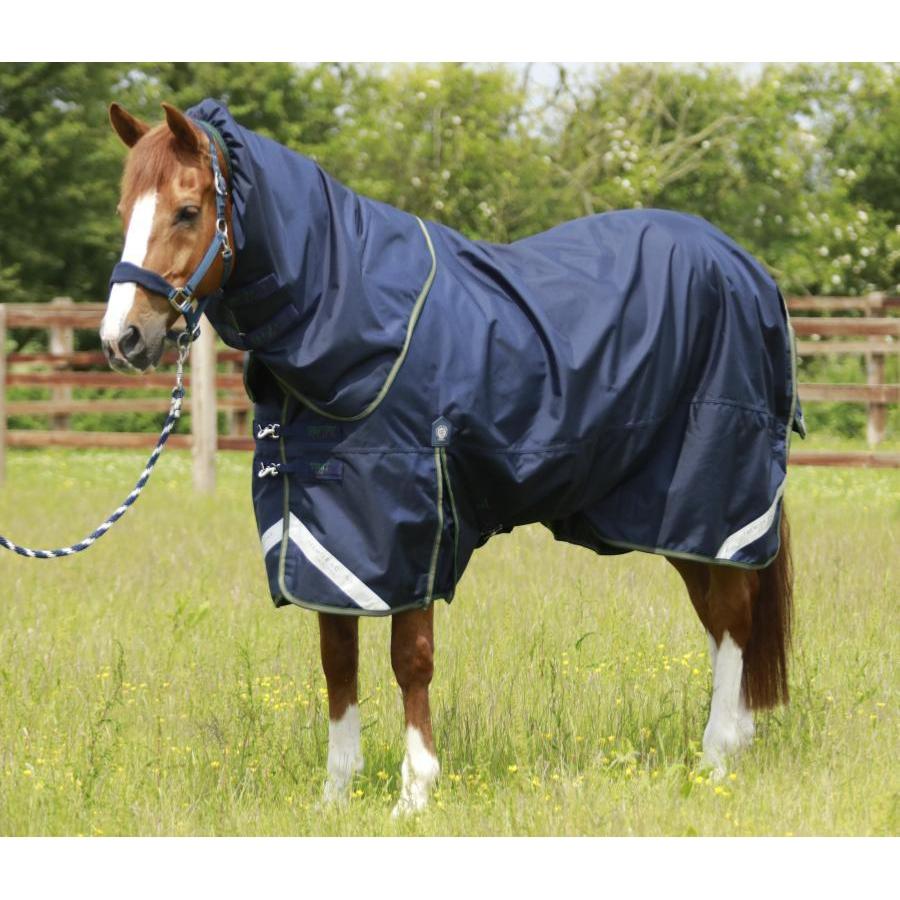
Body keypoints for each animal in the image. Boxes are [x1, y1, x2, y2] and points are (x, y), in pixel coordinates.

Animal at [102, 100, 799, 815]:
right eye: (125, 210)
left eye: (188, 211)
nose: (122, 338)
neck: (352, 321)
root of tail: (744, 267)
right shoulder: (328, 538)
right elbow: (337, 659)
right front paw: (336, 793)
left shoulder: (413, 528)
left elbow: (410, 659)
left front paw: (415, 792)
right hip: (669, 517)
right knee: (720, 615)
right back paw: (734, 739)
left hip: (713, 497)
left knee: (733, 612)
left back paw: (716, 757)